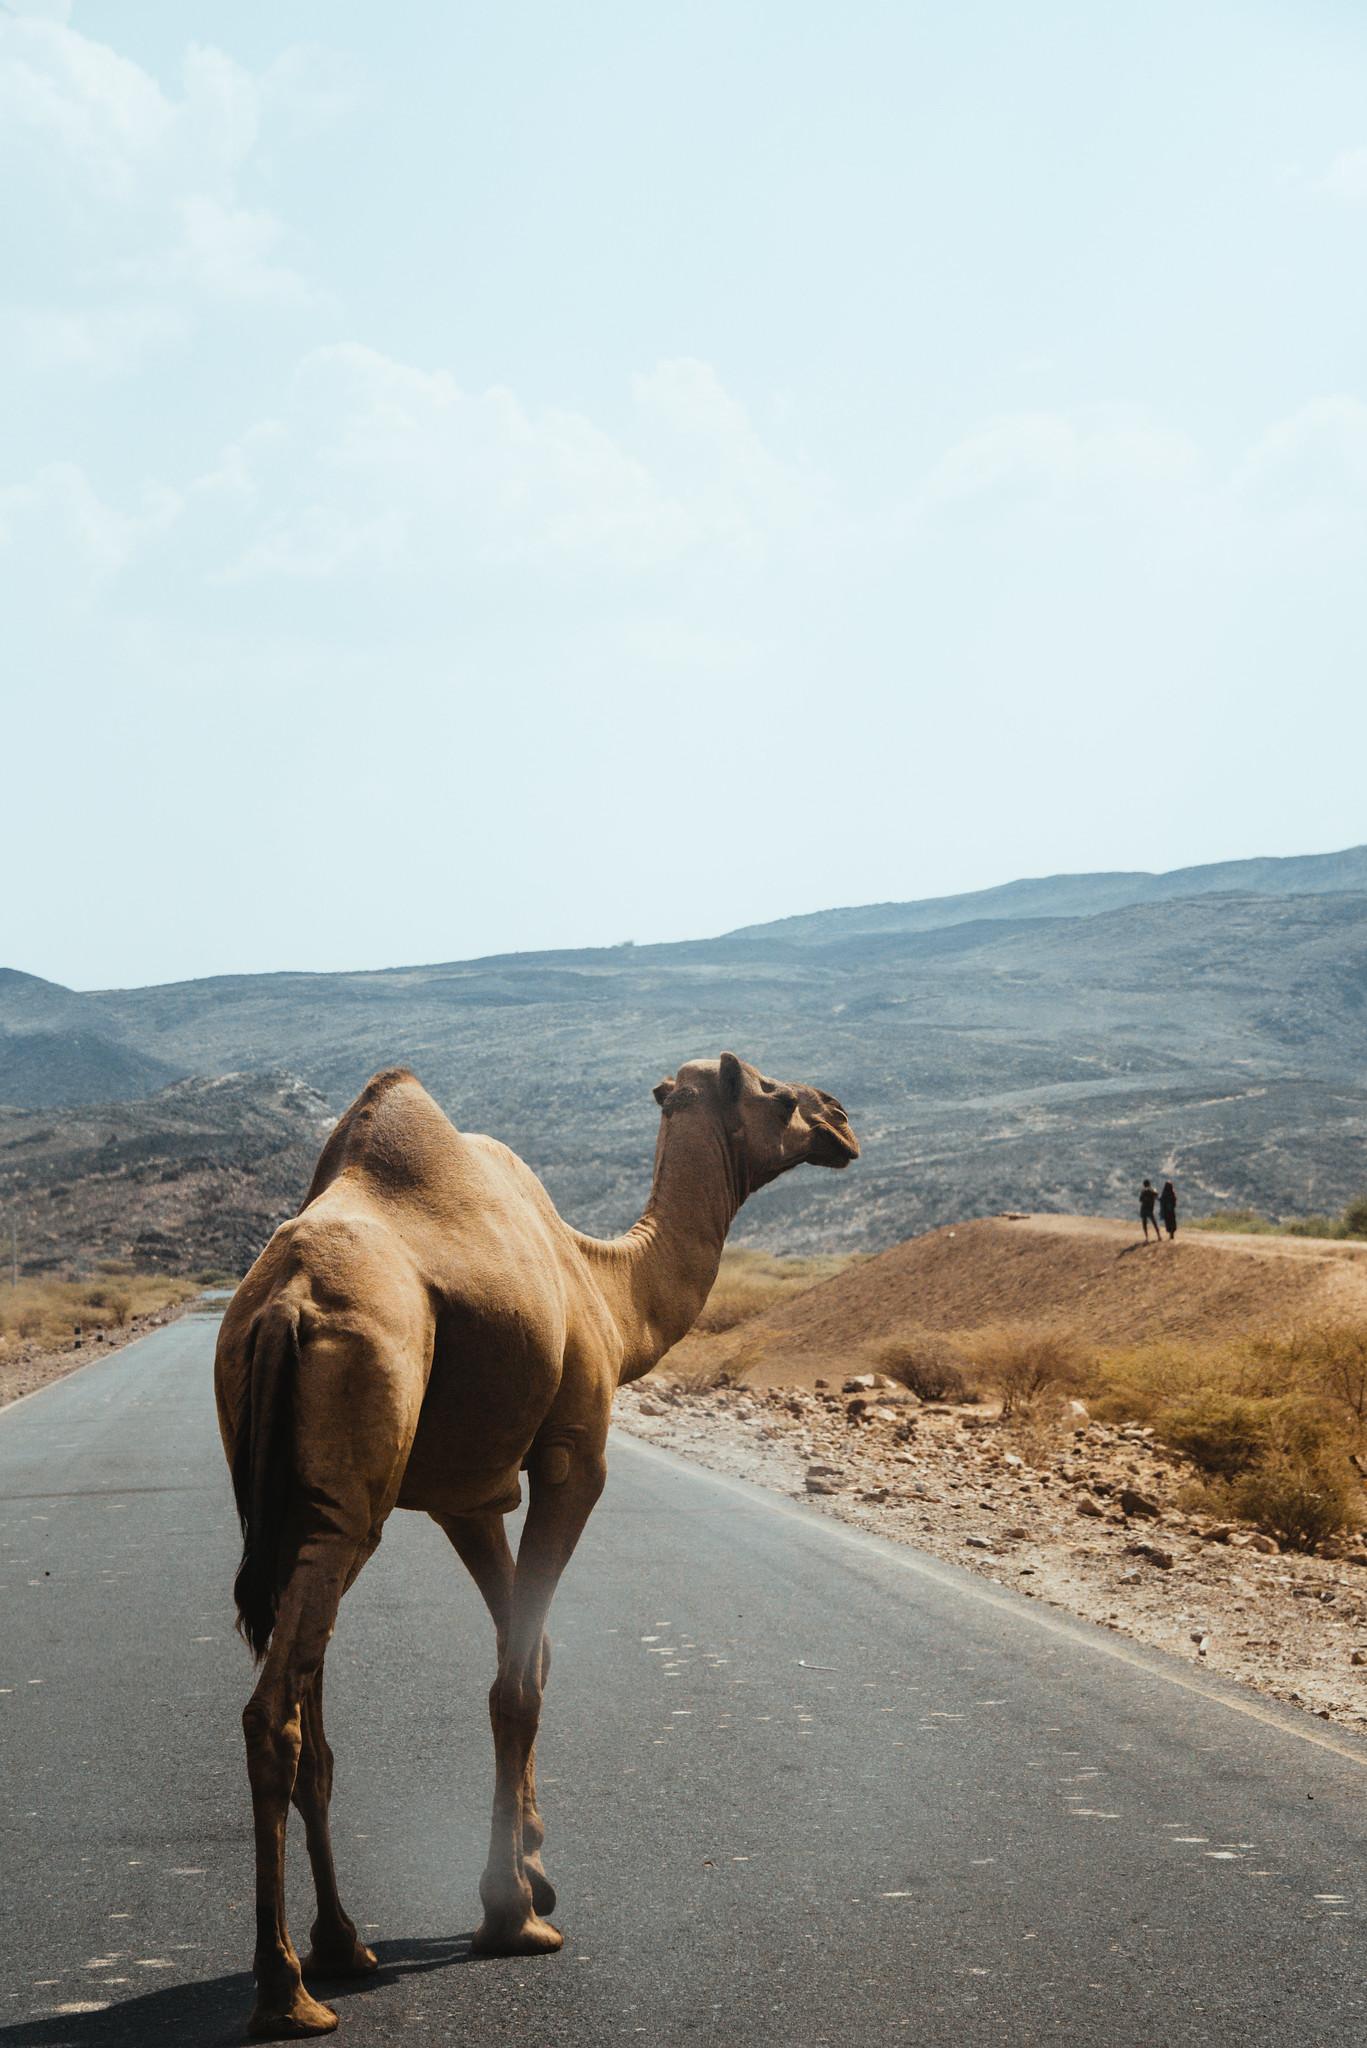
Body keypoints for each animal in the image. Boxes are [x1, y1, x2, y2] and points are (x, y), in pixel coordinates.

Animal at [214, 1048, 856, 2039]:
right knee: (271, 1713)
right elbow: (513, 1683)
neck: (606, 1290)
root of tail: (282, 1307)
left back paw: (342, 1944)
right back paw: (287, 1992)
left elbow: (532, 1649)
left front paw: (536, 1869)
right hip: (349, 1491)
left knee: (306, 1713)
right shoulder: (570, 1457)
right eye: (775, 1095)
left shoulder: (467, 1499)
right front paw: (512, 1912)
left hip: (296, 1508)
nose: (840, 1118)